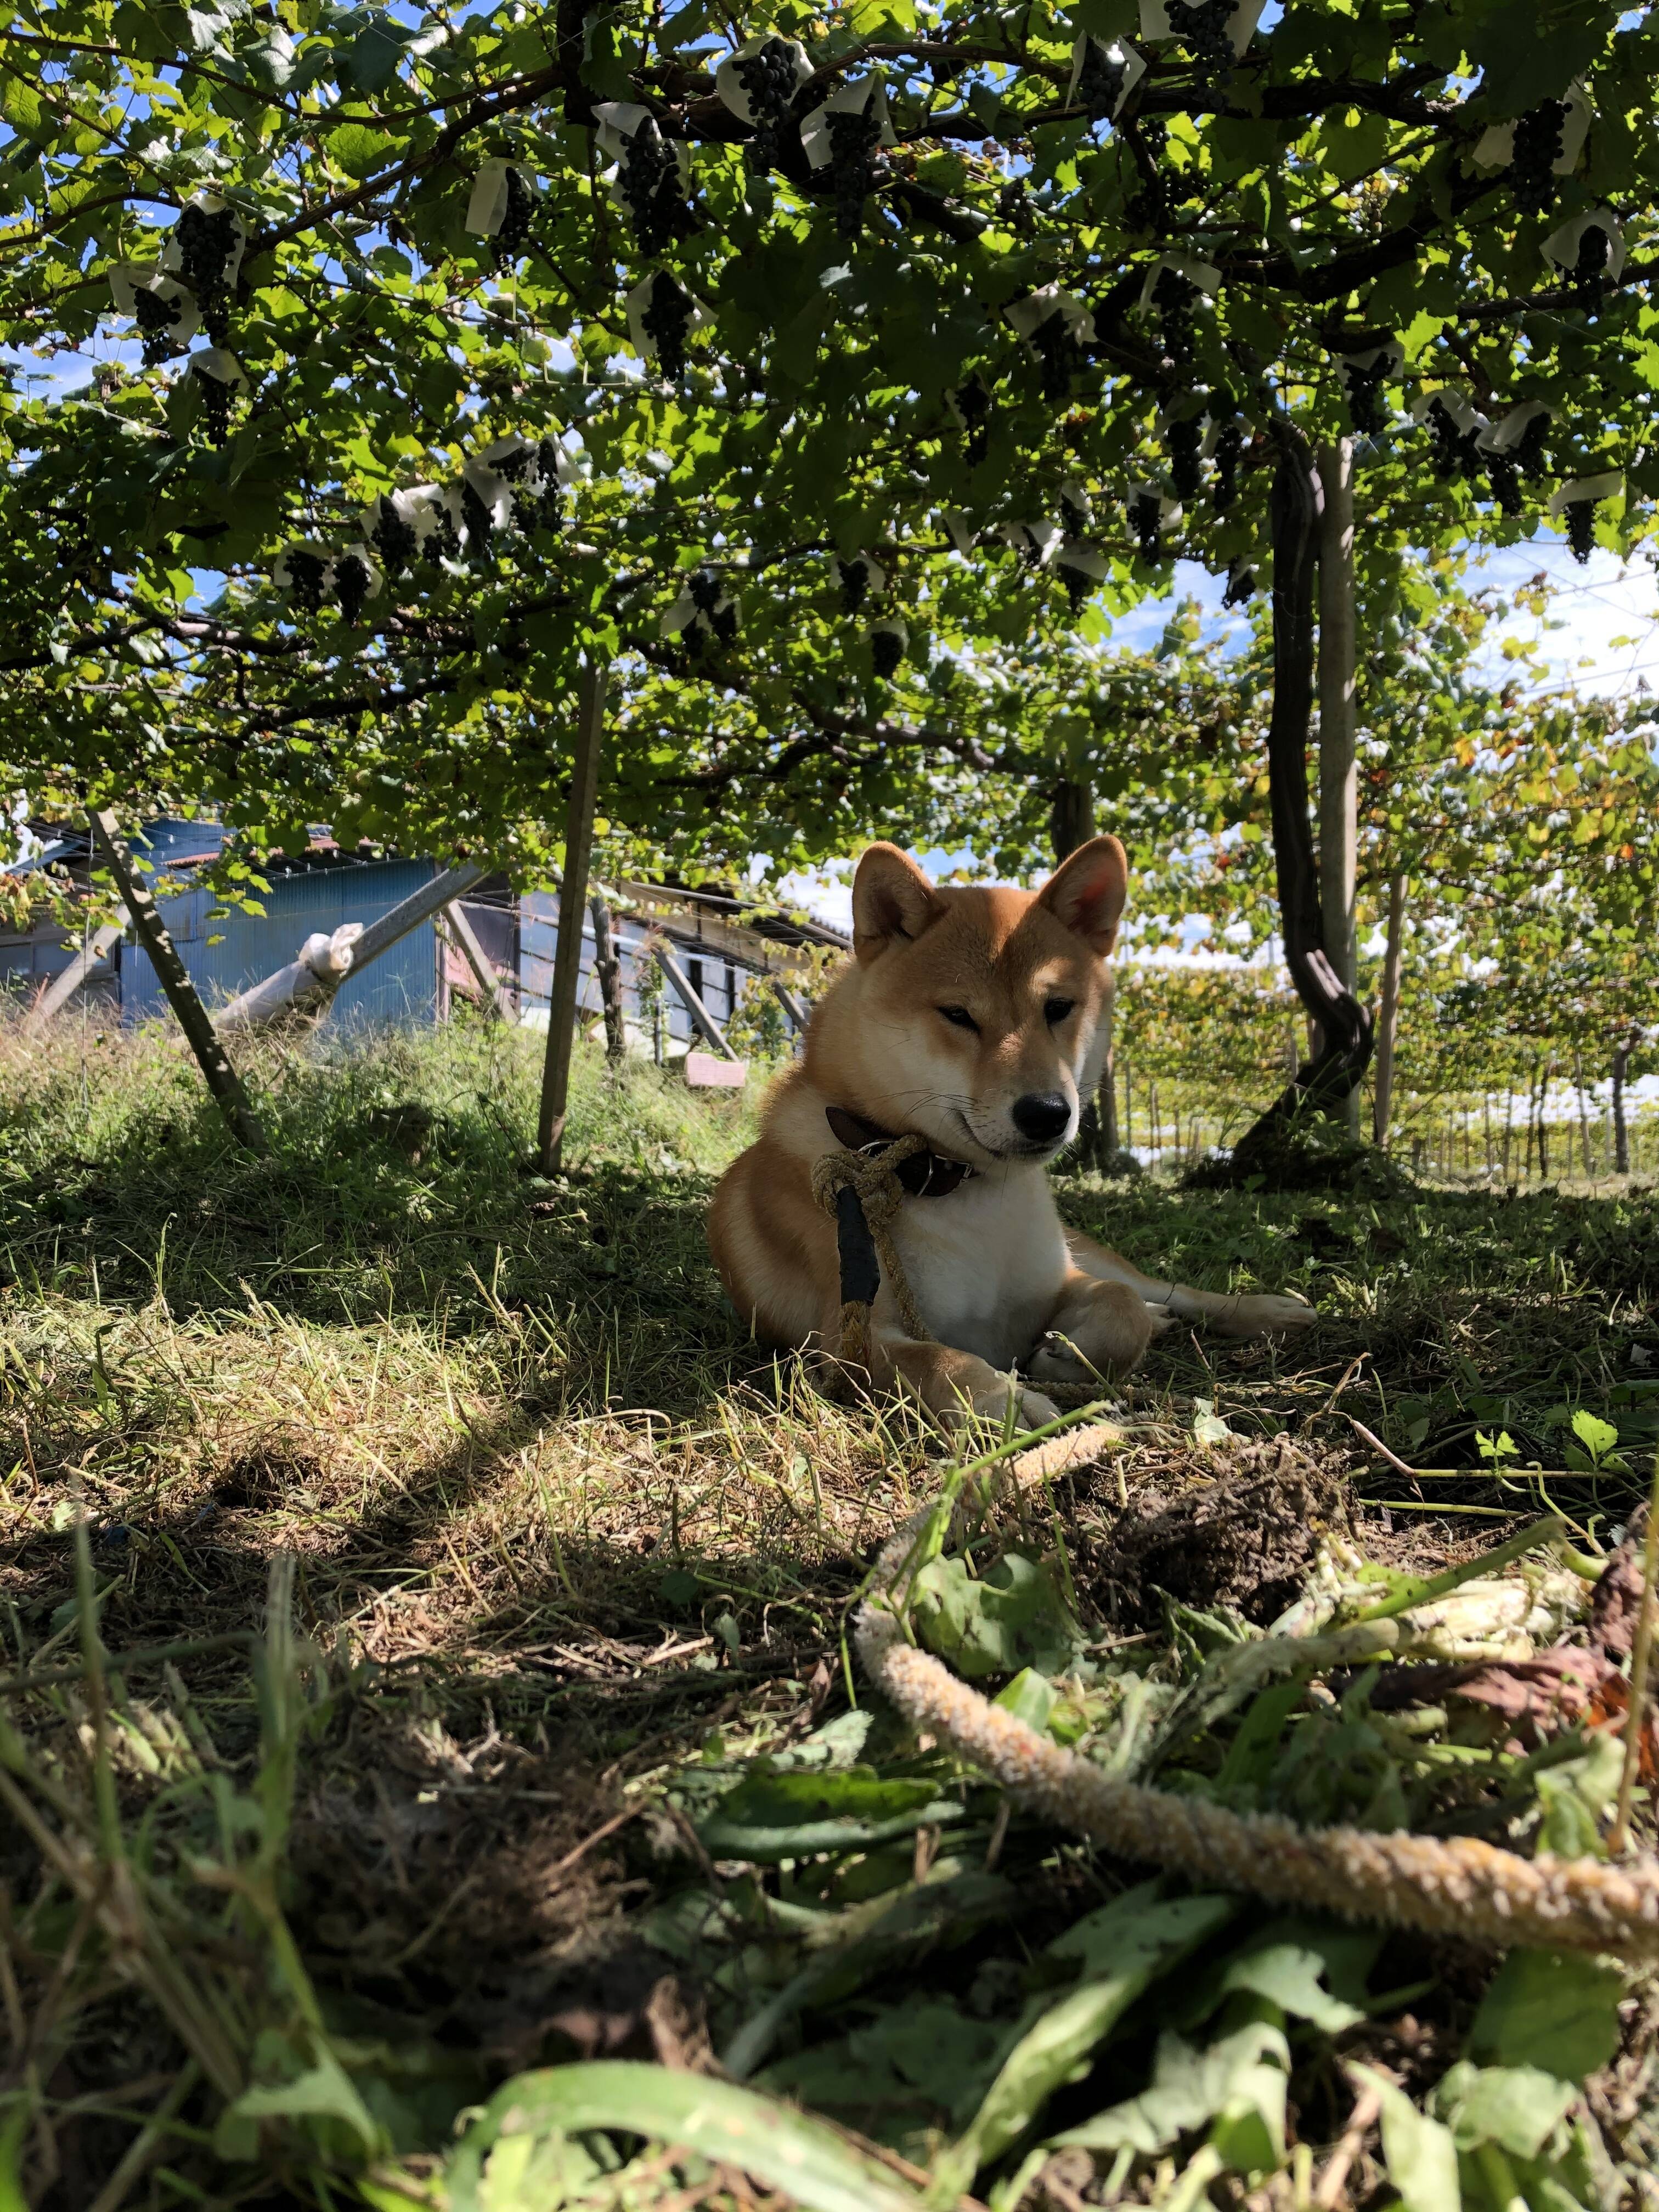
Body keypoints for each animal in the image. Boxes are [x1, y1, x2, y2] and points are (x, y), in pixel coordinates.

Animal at [708, 836, 1318, 1424]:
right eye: (958, 1015)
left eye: (1059, 1007)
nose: (1047, 1112)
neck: (964, 1189)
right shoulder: (848, 1342)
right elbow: (943, 1361)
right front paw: (1003, 1403)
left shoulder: (1061, 1283)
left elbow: (1121, 1310)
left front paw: (1066, 1356)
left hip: (1086, 1252)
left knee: (1159, 1288)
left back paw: (1260, 1310)